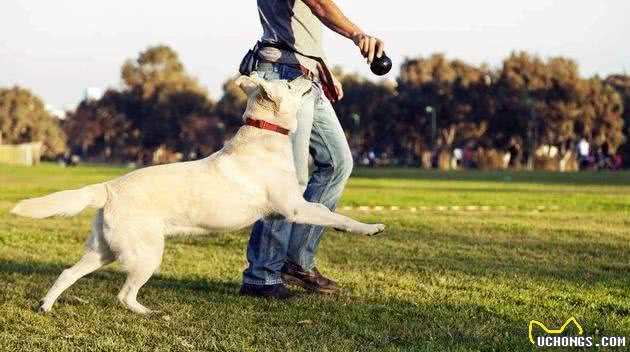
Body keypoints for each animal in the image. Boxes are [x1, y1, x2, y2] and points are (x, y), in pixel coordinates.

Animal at [11, 73, 386, 314]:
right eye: (291, 83)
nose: (310, 74)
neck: (264, 136)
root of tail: (108, 187)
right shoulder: (294, 207)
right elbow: (333, 214)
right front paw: (370, 228)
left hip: (103, 251)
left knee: (67, 273)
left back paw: (46, 306)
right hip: (147, 254)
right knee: (124, 294)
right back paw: (148, 312)